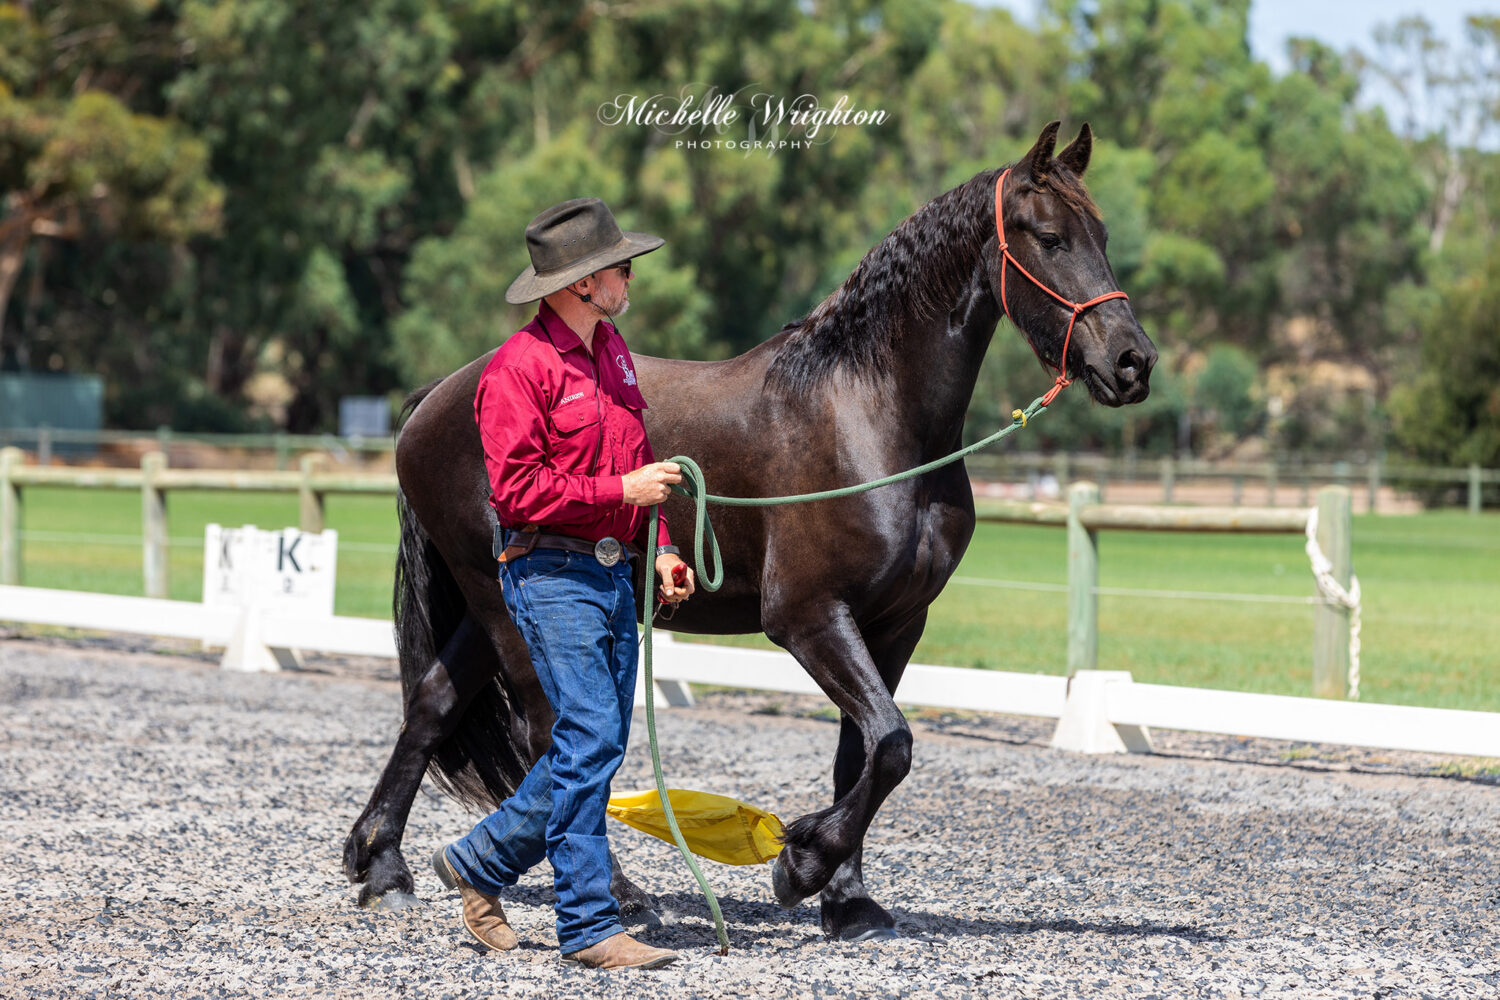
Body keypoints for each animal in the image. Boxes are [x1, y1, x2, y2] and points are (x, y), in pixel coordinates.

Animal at [345, 121, 1152, 941]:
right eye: (1048, 237)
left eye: (1103, 236)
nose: (1132, 362)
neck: (869, 416)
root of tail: (437, 397)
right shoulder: (806, 616)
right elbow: (892, 743)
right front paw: (801, 862)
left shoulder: (895, 623)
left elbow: (864, 752)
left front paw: (848, 902)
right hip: (511, 603)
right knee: (551, 736)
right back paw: (620, 895)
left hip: (492, 606)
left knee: (433, 704)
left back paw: (383, 867)